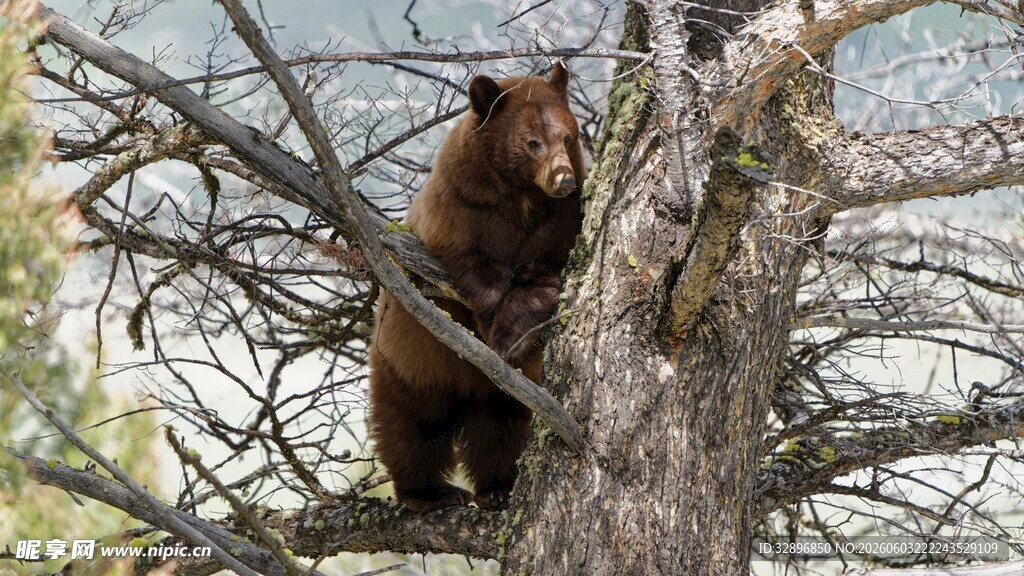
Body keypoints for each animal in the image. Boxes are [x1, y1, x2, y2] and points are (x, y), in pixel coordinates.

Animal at [367, 61, 585, 512]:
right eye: (533, 142)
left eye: (569, 137)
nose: (564, 180)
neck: (521, 197)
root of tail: (465, 393)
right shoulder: (461, 209)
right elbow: (476, 268)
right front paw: (493, 326)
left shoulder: (560, 221)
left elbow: (542, 277)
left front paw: (510, 338)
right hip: (407, 361)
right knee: (411, 424)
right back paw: (430, 492)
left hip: (499, 396)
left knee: (501, 429)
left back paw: (497, 488)